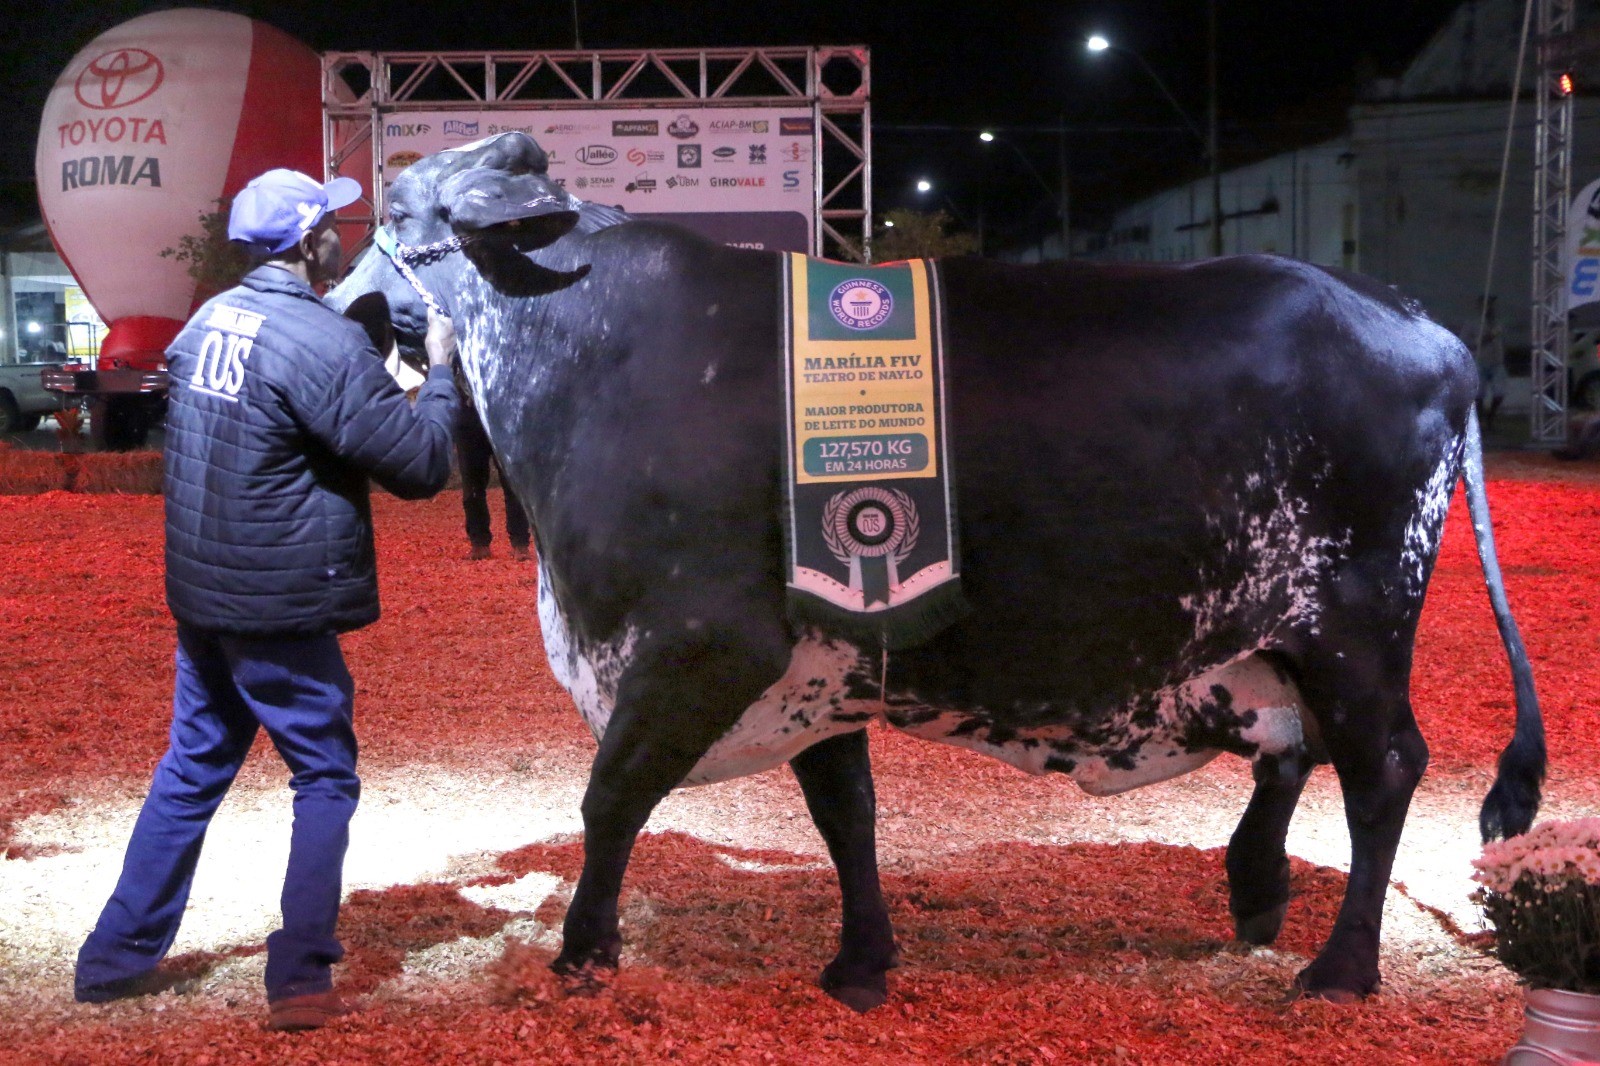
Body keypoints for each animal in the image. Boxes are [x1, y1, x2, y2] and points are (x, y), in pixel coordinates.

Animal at [330, 132, 1544, 1011]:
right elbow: (845, 812)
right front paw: (861, 962)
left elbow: (611, 796)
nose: (341, 306)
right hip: (1261, 638)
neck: (586, 350)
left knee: (1382, 768)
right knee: (1288, 753)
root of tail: (1415, 319)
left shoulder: (703, 640)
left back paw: (1338, 971)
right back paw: (1254, 892)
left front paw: (583, 952)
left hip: (1352, 621)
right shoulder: (820, 654)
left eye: (395, 214)